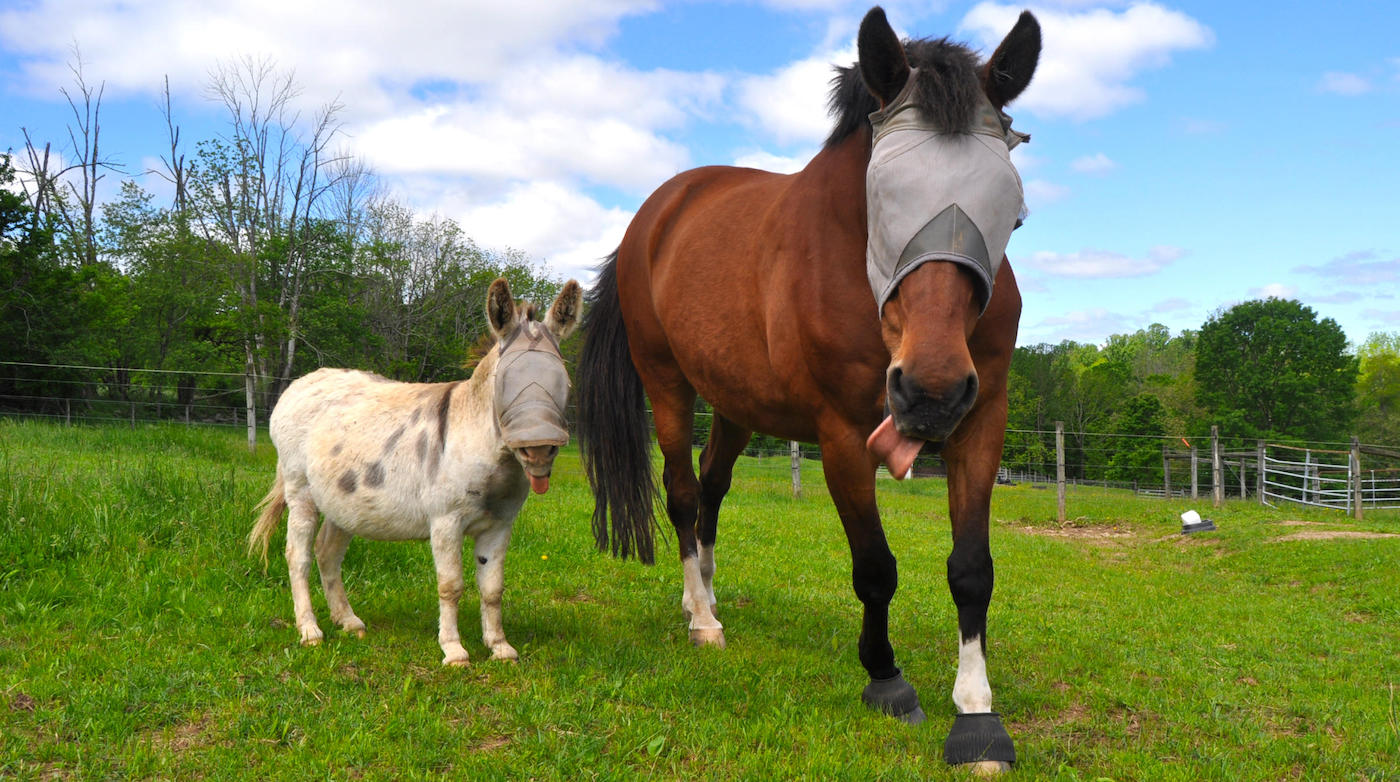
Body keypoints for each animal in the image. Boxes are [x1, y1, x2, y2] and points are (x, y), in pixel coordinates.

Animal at [249, 277, 582, 666]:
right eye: (505, 384)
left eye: (564, 383)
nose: (539, 449)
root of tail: (303, 381)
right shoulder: (445, 521)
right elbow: (451, 585)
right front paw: (454, 651)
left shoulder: (500, 525)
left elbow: (493, 588)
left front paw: (500, 647)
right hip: (300, 490)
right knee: (298, 556)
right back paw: (310, 631)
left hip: (342, 501)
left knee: (327, 553)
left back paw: (349, 622)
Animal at [575, 6, 1039, 772]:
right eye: (881, 196)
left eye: (1009, 203)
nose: (930, 391)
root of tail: (657, 214)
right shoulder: (841, 434)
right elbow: (875, 567)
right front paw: (886, 679)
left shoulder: (982, 421)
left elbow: (972, 568)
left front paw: (978, 716)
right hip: (667, 387)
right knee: (682, 495)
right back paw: (702, 620)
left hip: (735, 406)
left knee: (712, 491)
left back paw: (703, 595)